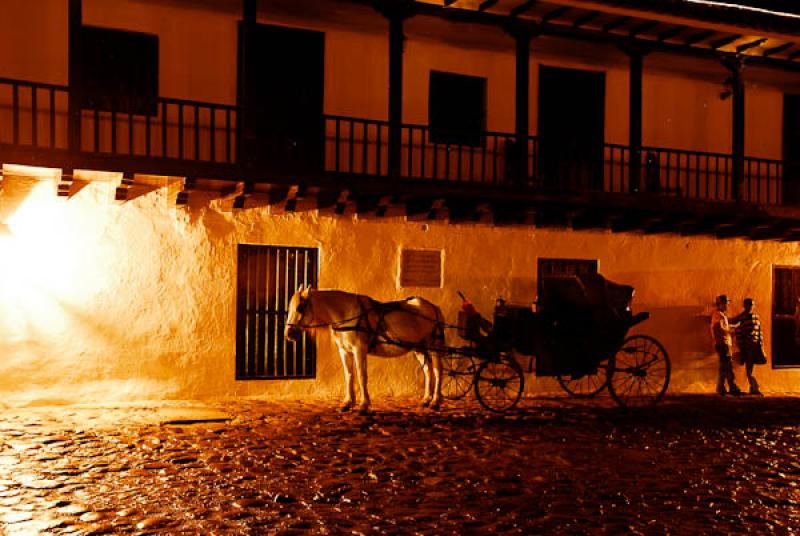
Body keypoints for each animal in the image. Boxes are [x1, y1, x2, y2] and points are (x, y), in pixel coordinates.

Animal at [284, 286, 446, 412]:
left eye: (300, 308)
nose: (288, 334)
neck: (347, 314)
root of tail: (433, 307)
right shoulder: (344, 351)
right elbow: (349, 375)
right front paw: (348, 403)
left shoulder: (359, 350)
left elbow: (362, 376)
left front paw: (364, 405)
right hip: (419, 348)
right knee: (428, 371)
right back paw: (426, 400)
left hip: (433, 346)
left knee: (437, 371)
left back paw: (435, 401)